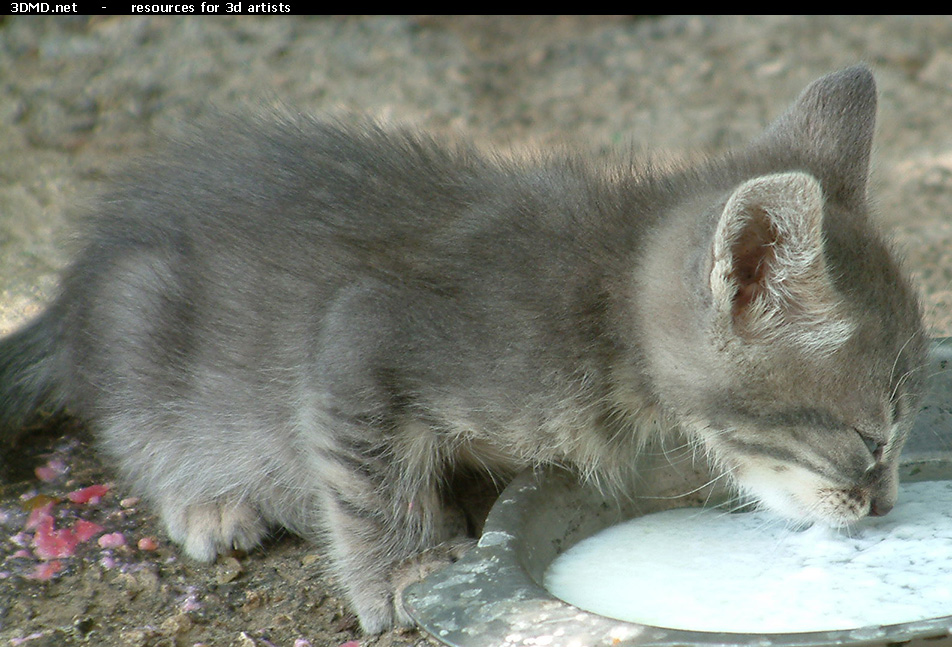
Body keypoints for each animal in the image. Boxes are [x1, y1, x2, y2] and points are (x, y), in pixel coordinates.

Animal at [0, 67, 924, 632]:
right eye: (870, 439)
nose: (885, 506)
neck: (600, 308)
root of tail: (83, 276)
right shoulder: (362, 335)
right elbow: (368, 481)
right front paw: (405, 571)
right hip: (142, 319)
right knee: (132, 425)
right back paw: (208, 500)